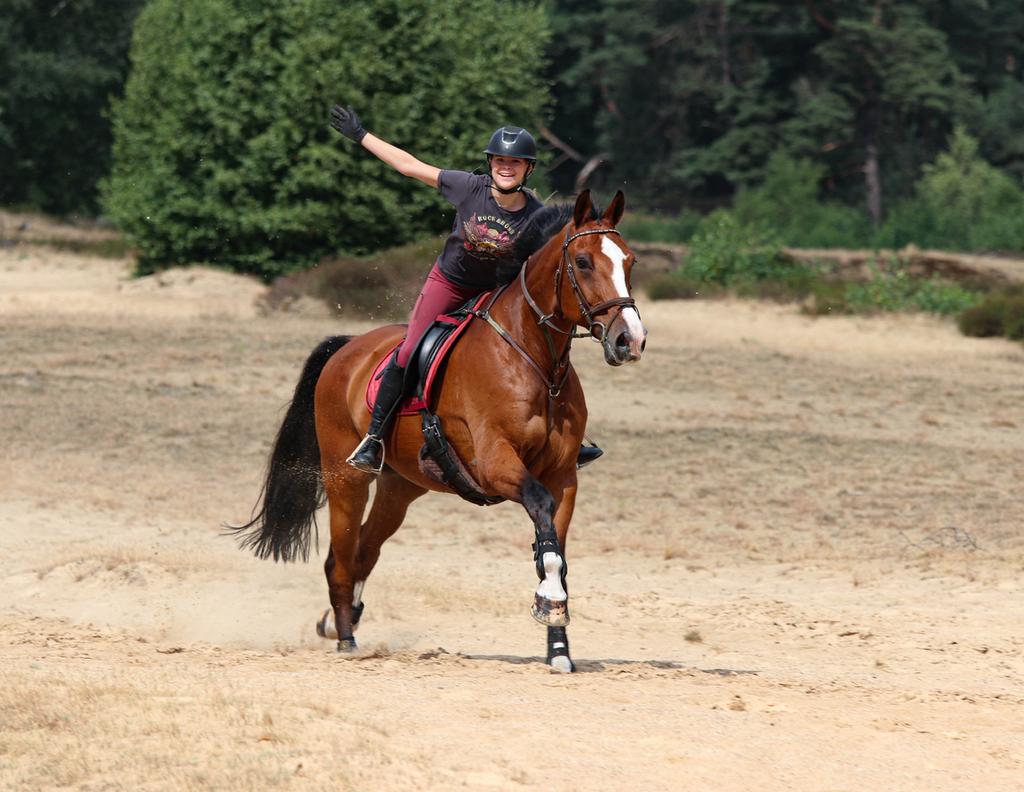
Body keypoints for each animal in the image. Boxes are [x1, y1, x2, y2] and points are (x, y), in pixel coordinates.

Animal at [230, 189, 646, 672]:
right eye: (582, 262)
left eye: (630, 261)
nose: (630, 340)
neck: (536, 361)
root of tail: (347, 348)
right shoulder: (495, 464)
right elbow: (541, 517)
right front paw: (549, 602)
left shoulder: (564, 478)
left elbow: (554, 551)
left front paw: (558, 644)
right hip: (345, 476)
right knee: (341, 558)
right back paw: (347, 639)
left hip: (400, 488)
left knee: (363, 552)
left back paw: (338, 622)